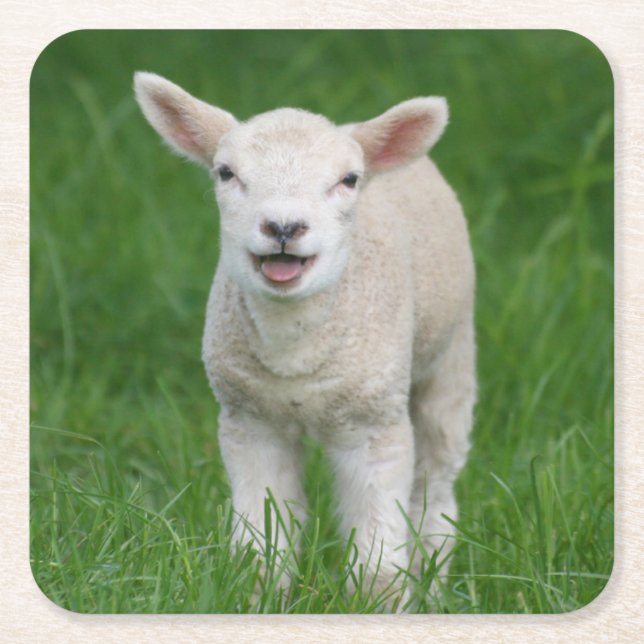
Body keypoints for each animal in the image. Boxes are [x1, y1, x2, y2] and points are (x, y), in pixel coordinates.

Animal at [134, 72, 476, 601]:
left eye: (349, 180)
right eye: (225, 173)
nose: (283, 226)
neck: (292, 353)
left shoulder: (374, 425)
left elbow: (378, 559)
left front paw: (378, 605)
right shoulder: (251, 421)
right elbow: (261, 548)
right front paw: (257, 600)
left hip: (451, 357)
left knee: (435, 489)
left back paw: (434, 587)